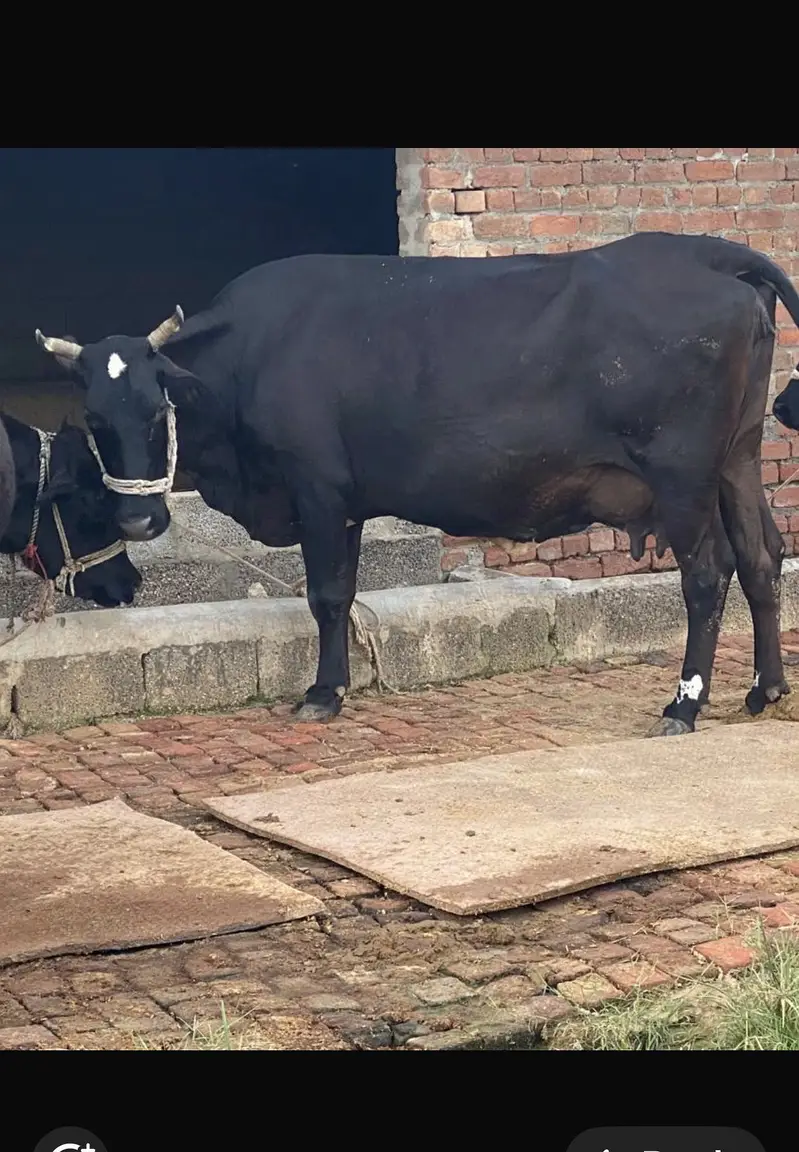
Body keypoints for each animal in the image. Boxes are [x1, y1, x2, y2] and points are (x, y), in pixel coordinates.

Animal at [33, 231, 799, 733]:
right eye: (95, 417)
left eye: (156, 406)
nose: (139, 522)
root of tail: (701, 251)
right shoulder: (342, 503)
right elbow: (340, 597)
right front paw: (336, 685)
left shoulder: (317, 489)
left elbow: (325, 594)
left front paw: (322, 693)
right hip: (737, 460)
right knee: (761, 557)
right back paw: (764, 689)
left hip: (682, 474)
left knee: (708, 573)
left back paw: (684, 703)